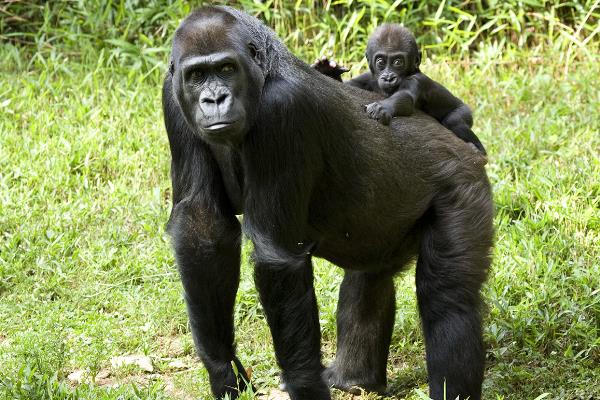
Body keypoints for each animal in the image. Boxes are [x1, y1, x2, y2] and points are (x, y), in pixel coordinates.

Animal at [314, 23, 488, 155]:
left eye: (398, 62)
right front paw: (326, 70)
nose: (388, 77)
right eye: (381, 62)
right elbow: (345, 87)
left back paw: (479, 150)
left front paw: (382, 107)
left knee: (455, 120)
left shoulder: (417, 80)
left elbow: (405, 98)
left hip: (465, 111)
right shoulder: (367, 78)